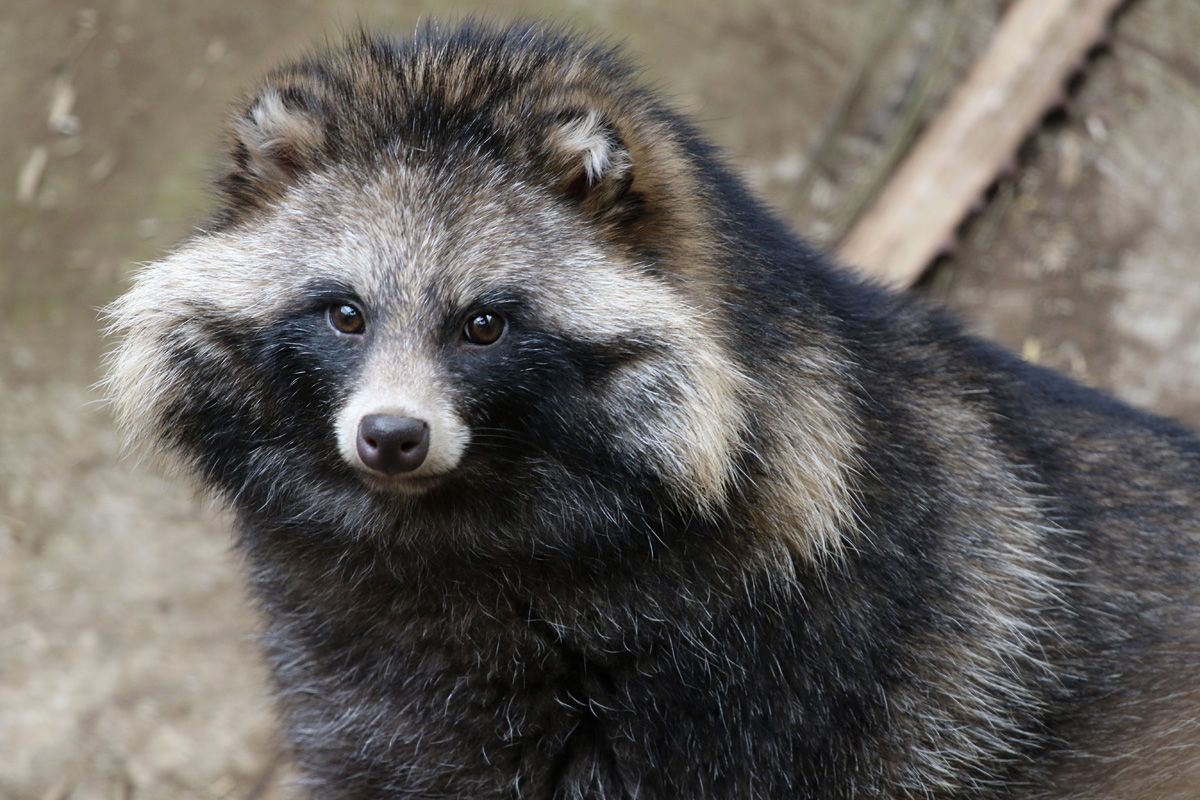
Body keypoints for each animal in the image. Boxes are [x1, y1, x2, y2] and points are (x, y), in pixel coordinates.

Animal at [104, 22, 1200, 800]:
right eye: (344, 312)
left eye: (484, 324)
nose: (392, 436)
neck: (456, 547)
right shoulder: (365, 699)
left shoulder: (785, 679)